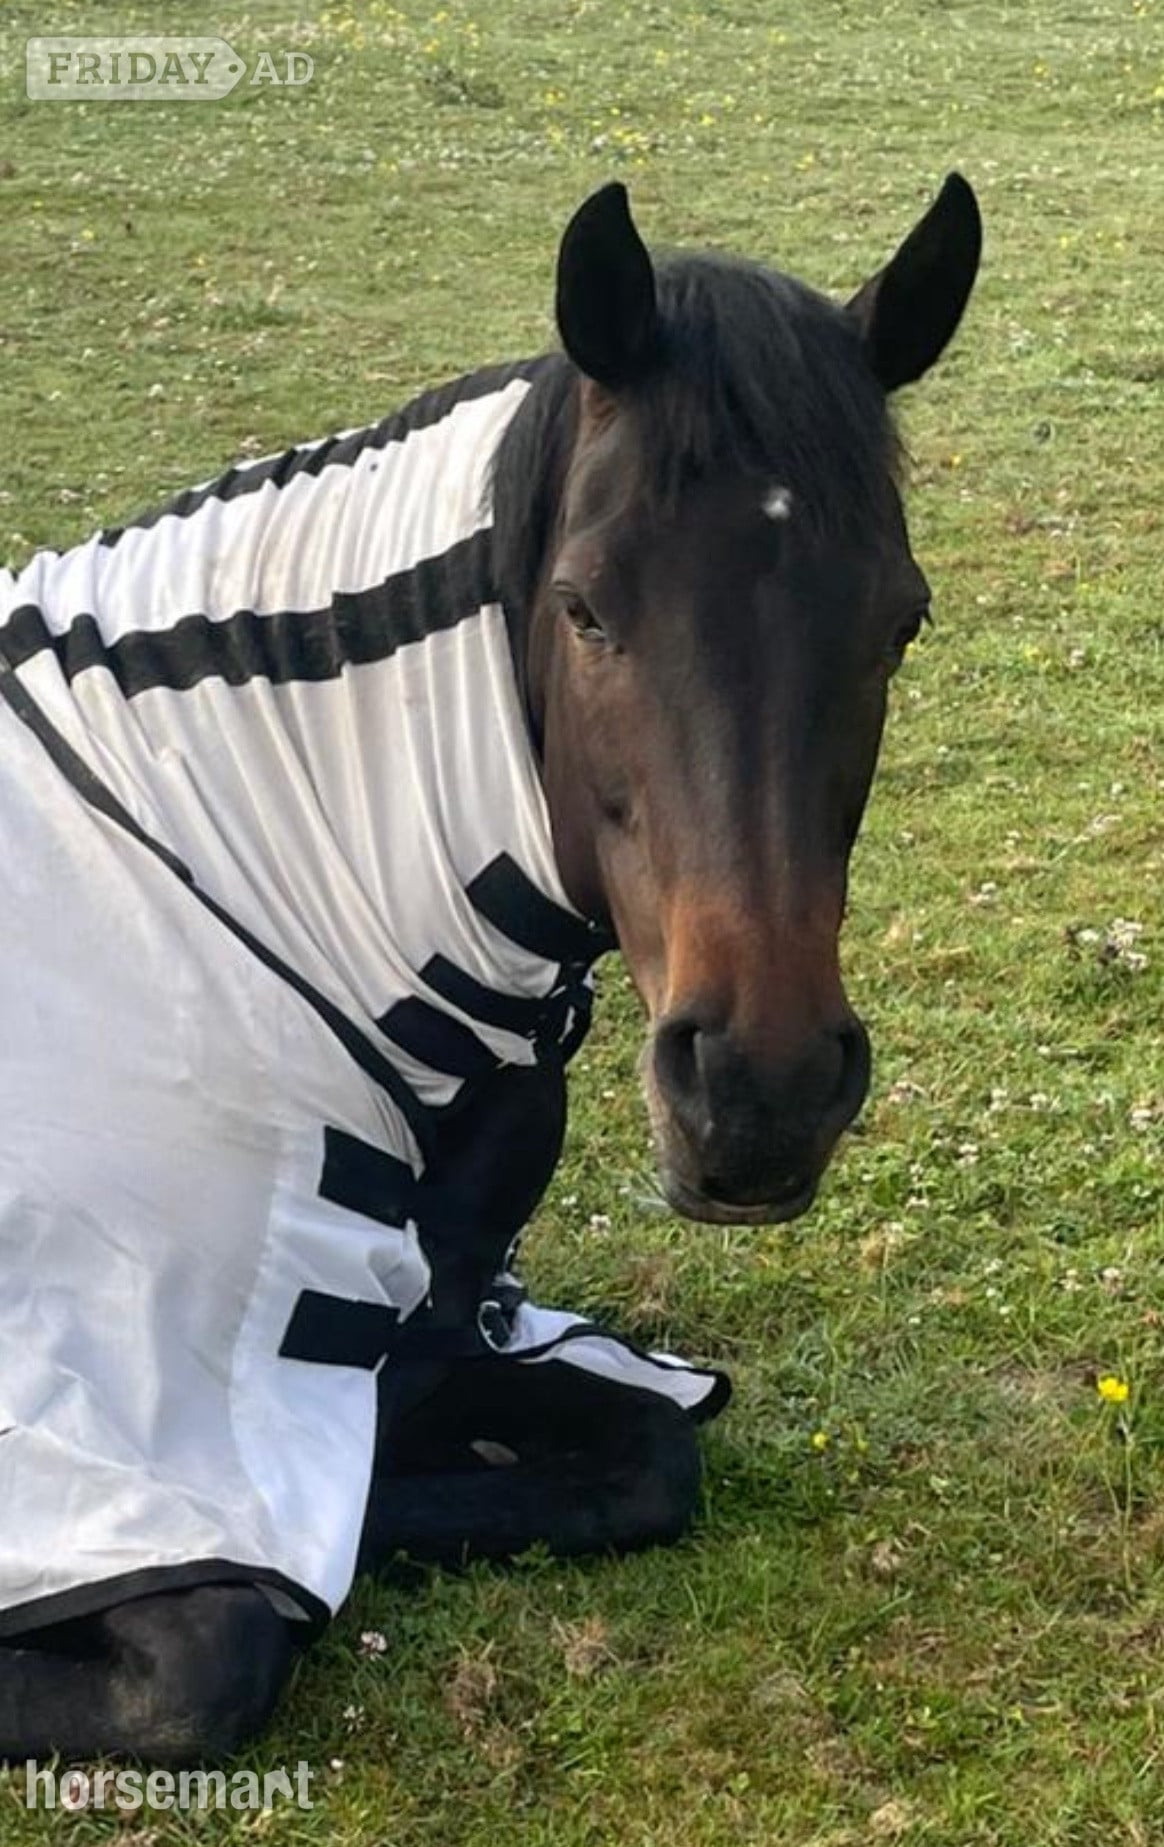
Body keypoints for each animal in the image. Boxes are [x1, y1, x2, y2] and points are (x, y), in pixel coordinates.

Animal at [0, 175, 981, 1764]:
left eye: (903, 616)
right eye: (584, 607)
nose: (760, 1088)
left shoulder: (437, 1322)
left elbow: (647, 1448)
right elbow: (215, 1644)